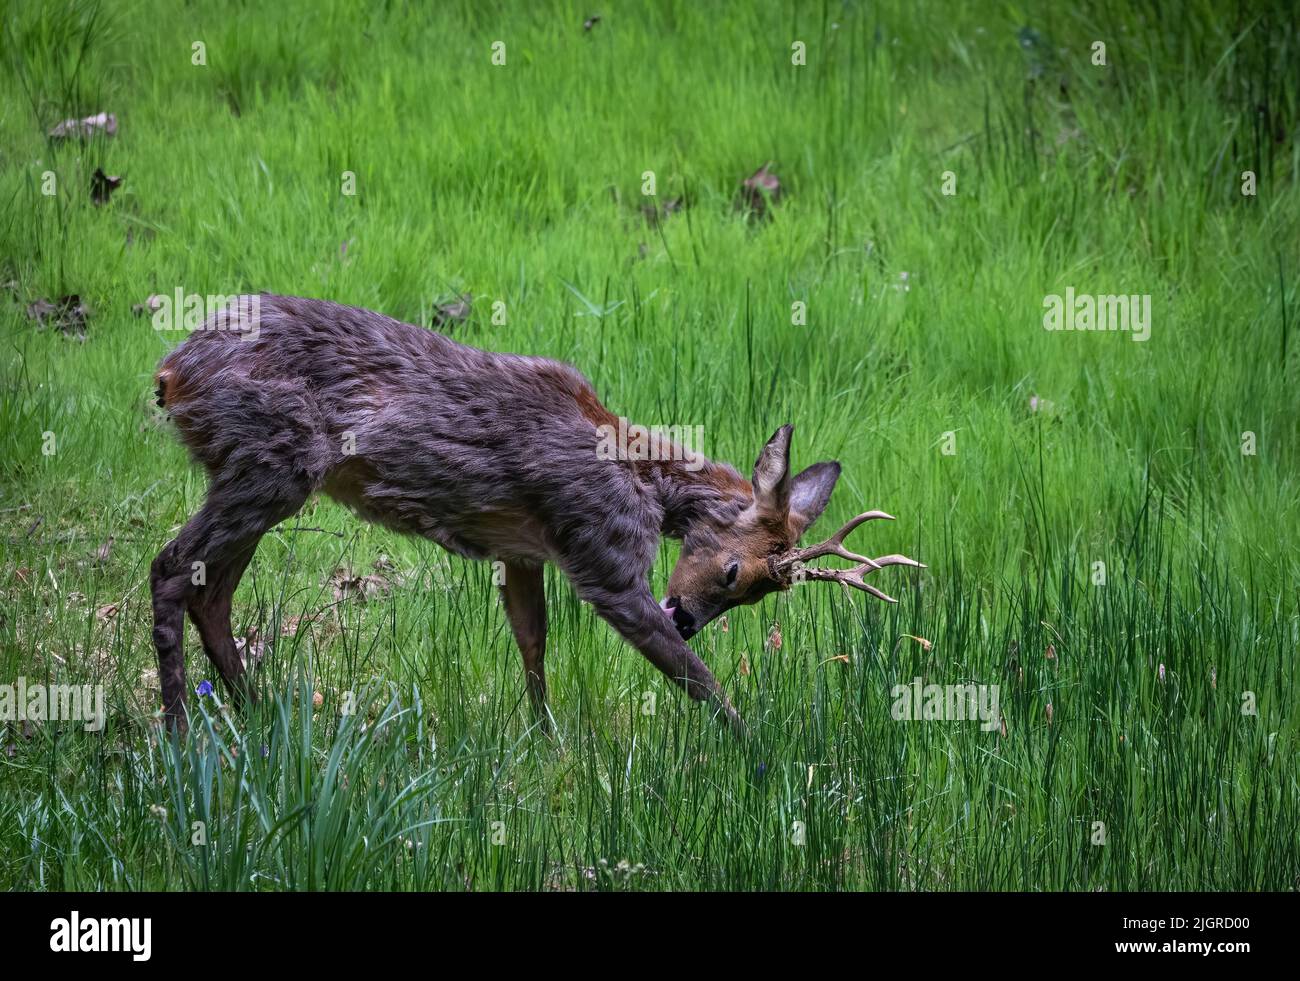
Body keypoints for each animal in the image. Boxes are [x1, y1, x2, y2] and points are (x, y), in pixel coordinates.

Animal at [150, 294, 923, 736]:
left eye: (763, 593)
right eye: (736, 571)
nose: (685, 618)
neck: (640, 477)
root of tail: (170, 369)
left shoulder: (522, 549)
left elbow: (532, 641)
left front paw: (545, 739)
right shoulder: (601, 553)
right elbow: (693, 677)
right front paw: (758, 751)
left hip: (258, 476)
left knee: (212, 591)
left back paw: (258, 718)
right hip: (268, 462)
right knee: (170, 567)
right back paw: (184, 735)